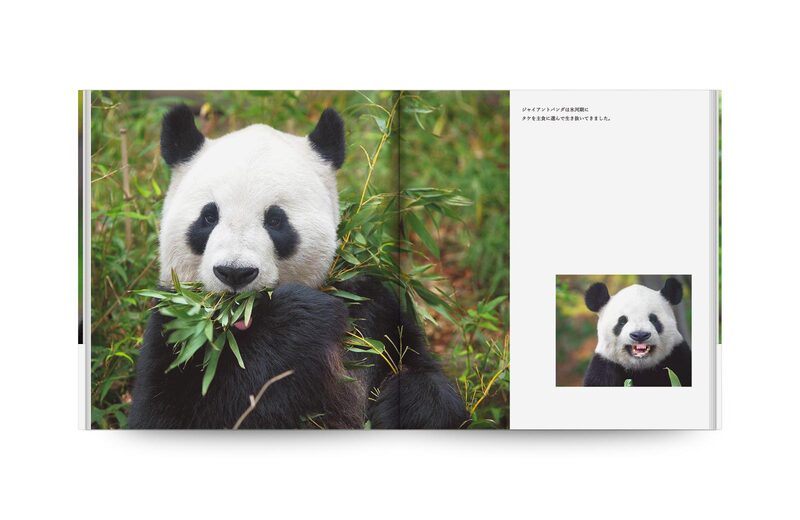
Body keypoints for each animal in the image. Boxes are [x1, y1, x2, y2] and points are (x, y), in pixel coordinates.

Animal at [128, 105, 469, 429]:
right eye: (209, 217)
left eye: (275, 220)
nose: (235, 272)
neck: (242, 328)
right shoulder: (176, 328)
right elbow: (172, 413)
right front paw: (302, 313)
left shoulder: (372, 307)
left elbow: (424, 376)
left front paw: (406, 405)